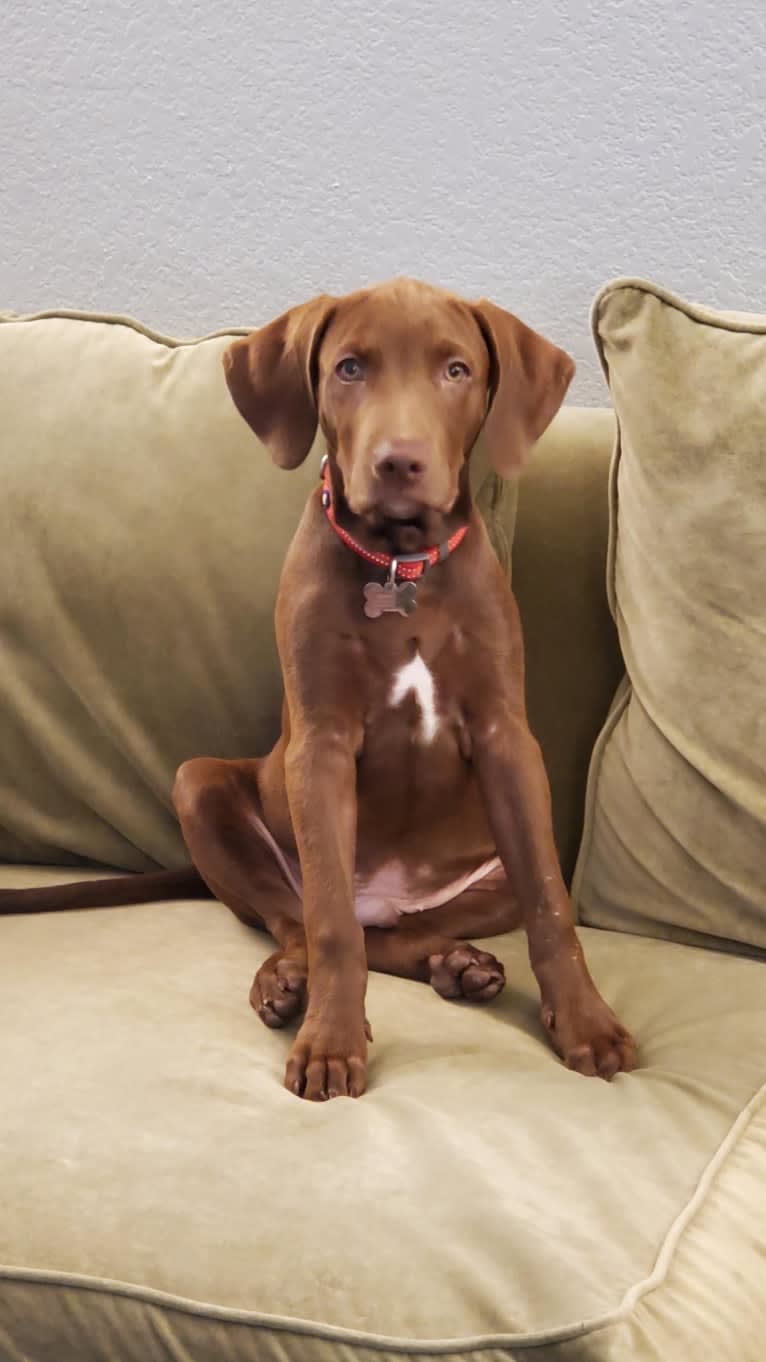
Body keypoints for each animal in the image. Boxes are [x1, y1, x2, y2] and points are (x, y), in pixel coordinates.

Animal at [0, 281, 632, 1100]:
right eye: (350, 368)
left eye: (456, 370)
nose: (399, 462)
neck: (401, 564)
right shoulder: (321, 747)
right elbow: (330, 924)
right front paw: (331, 1041)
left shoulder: (506, 740)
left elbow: (551, 907)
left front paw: (587, 1024)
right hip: (199, 785)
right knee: (301, 922)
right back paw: (286, 982)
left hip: (481, 879)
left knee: (398, 931)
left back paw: (455, 963)